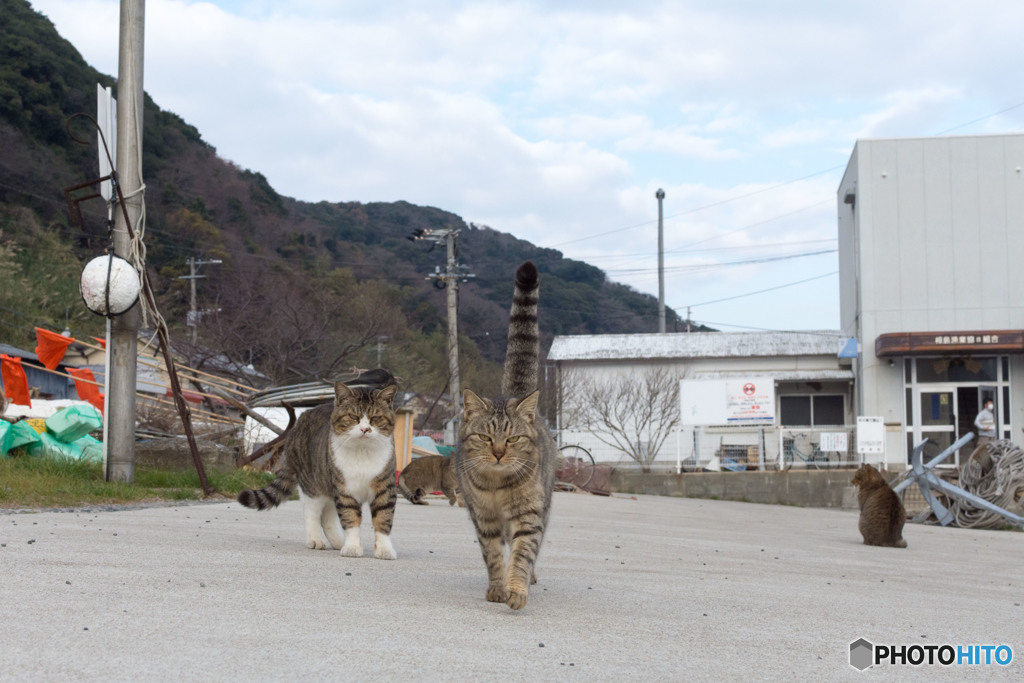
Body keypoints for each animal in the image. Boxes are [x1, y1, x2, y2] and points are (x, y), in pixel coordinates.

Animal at [238, 382, 399, 557]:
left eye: (375, 418)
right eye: (353, 417)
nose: (364, 429)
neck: (362, 454)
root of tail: (300, 420)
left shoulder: (384, 489)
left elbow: (383, 518)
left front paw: (384, 549)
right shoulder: (345, 491)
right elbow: (350, 518)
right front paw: (352, 547)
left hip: (328, 486)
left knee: (327, 518)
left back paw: (338, 542)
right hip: (312, 485)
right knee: (312, 513)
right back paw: (316, 539)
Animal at [454, 260, 557, 610]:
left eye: (512, 439)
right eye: (486, 438)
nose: (499, 453)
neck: (498, 486)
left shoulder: (528, 515)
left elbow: (523, 554)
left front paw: (516, 589)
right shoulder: (483, 518)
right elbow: (494, 556)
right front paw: (498, 588)